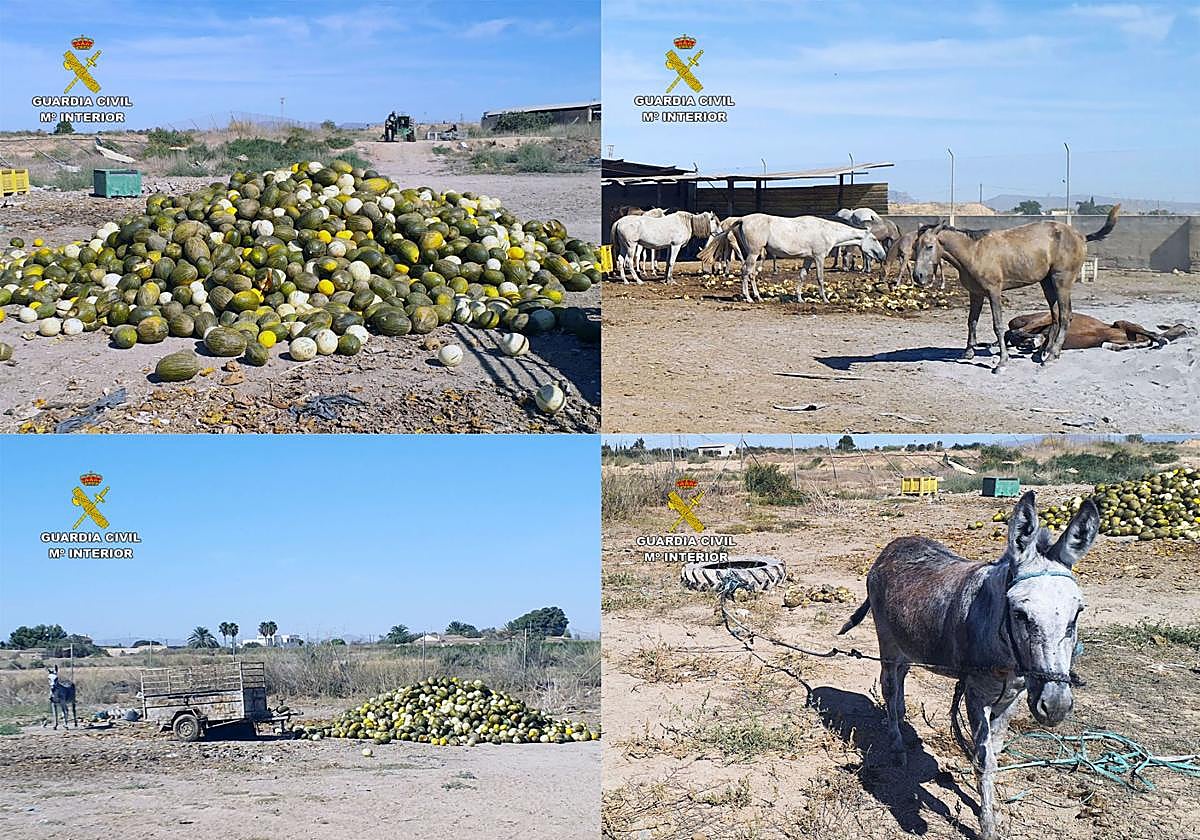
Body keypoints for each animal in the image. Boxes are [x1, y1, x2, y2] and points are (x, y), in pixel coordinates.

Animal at [702, 214, 887, 304]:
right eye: (874, 239)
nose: (883, 255)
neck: (827, 231)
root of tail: (742, 220)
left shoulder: (809, 258)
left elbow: (802, 276)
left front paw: (799, 298)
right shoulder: (819, 257)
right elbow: (820, 278)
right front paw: (825, 299)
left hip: (753, 253)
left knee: (752, 274)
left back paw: (758, 297)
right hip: (754, 253)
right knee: (746, 272)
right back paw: (748, 298)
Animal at [839, 491, 1098, 840]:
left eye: (1078, 613)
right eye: (1020, 614)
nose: (1055, 706)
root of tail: (893, 546)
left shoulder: (1010, 700)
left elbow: (994, 756)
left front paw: (988, 808)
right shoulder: (976, 696)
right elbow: (983, 759)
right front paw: (987, 824)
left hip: (910, 645)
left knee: (901, 680)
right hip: (888, 643)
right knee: (888, 687)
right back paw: (896, 745)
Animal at [912, 205, 1119, 369]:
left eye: (929, 246)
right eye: (915, 247)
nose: (918, 276)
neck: (974, 253)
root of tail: (1081, 236)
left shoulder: (993, 292)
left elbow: (997, 325)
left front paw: (1002, 362)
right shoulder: (975, 294)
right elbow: (971, 321)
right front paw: (969, 352)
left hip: (1062, 282)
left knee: (1065, 316)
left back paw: (1051, 355)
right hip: (1047, 283)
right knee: (1055, 317)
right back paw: (1043, 352)